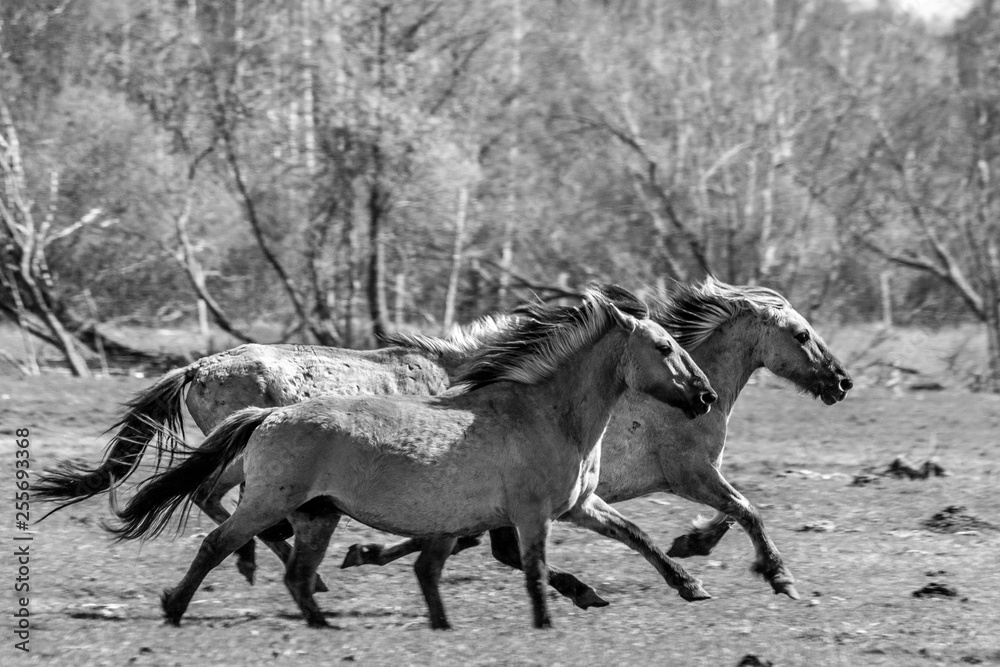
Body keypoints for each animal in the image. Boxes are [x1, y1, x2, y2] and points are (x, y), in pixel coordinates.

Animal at [107, 284, 718, 629]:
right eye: (664, 347)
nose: (706, 396)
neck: (547, 414)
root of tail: (269, 417)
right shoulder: (531, 514)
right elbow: (530, 565)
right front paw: (557, 610)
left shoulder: (578, 506)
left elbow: (637, 536)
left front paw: (689, 585)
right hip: (266, 501)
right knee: (216, 538)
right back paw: (178, 606)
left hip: (316, 513)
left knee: (288, 565)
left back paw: (317, 614)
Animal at [341, 278, 853, 603]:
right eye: (801, 334)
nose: (842, 382)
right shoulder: (691, 473)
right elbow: (746, 510)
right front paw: (779, 577)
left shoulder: (693, 476)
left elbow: (731, 514)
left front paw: (690, 544)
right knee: (493, 546)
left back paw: (364, 553)